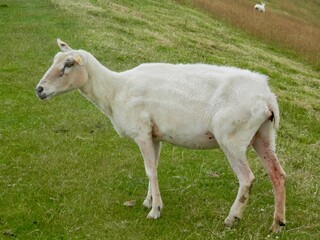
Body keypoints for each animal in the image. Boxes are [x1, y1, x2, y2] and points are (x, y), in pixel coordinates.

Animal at [35, 39, 288, 232]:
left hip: (232, 138)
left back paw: (232, 218)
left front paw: (155, 210)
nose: (39, 90)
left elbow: (150, 170)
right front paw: (149, 201)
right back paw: (277, 224)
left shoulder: (141, 131)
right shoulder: (154, 135)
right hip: (262, 135)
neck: (114, 92)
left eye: (68, 64)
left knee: (247, 178)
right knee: (277, 174)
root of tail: (268, 97)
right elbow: (153, 168)